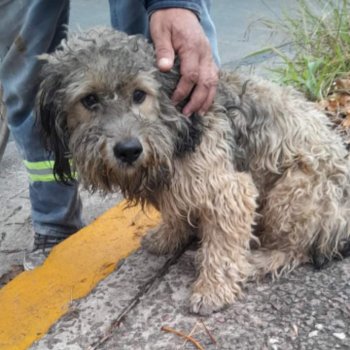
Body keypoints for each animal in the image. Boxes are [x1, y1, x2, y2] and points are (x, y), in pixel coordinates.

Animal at [36, 28, 350, 316]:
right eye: (89, 100)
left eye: (139, 94)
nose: (128, 150)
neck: (175, 126)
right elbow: (174, 212)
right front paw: (167, 237)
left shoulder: (229, 190)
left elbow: (223, 247)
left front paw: (213, 289)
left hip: (293, 192)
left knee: (296, 249)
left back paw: (257, 262)